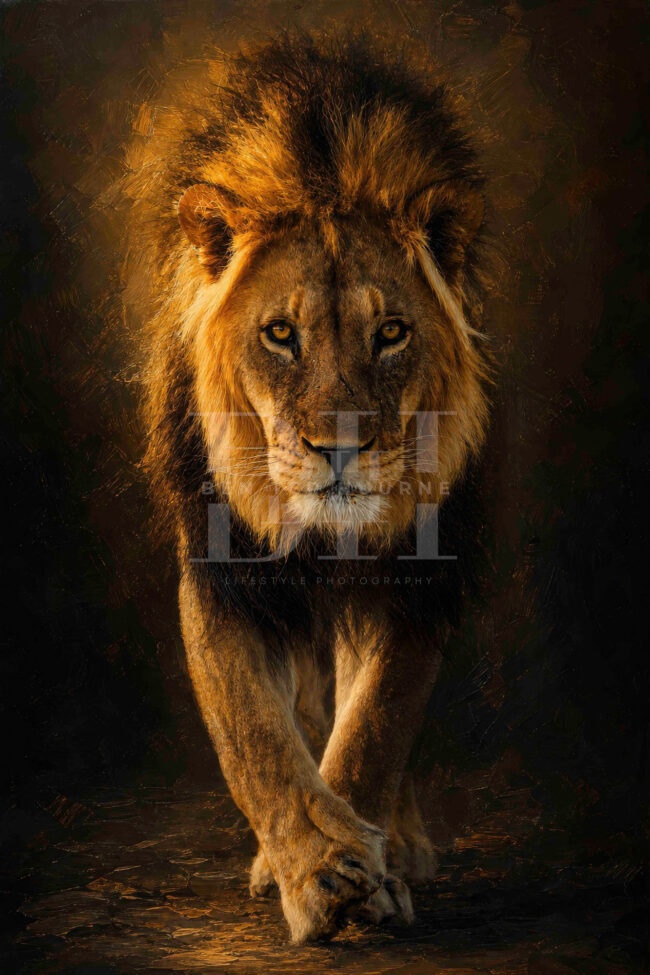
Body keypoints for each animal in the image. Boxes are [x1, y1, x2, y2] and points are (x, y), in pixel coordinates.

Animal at [129, 34, 489, 942]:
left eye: (391, 332)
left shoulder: (417, 577)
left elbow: (377, 722)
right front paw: (323, 867)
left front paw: (367, 867)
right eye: (279, 334)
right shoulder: (224, 571)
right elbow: (256, 736)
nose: (341, 449)